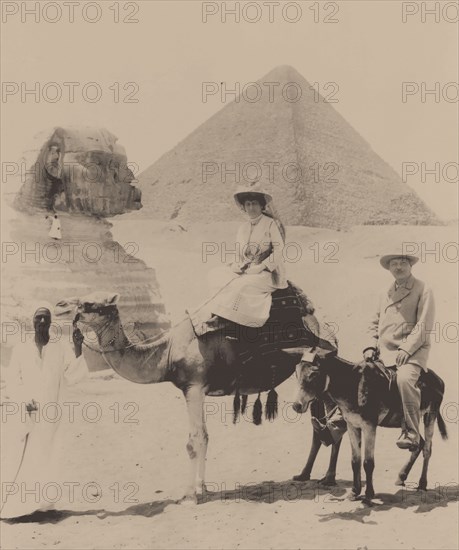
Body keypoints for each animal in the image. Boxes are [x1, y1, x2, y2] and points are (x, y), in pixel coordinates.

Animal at [56, 294, 342, 504]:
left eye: (90, 303)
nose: (59, 305)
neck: (167, 354)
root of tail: (325, 327)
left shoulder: (193, 387)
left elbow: (195, 441)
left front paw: (189, 495)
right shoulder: (196, 390)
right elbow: (204, 437)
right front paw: (202, 488)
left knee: (336, 424)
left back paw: (329, 478)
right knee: (318, 427)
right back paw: (304, 474)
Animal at [292, 354, 450, 504]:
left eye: (314, 374)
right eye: (296, 374)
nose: (296, 405)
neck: (355, 385)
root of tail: (438, 378)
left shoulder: (369, 427)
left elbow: (368, 463)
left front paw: (368, 495)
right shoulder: (352, 425)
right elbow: (355, 461)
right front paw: (354, 492)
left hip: (430, 415)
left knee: (427, 449)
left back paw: (422, 484)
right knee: (418, 443)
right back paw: (401, 476)